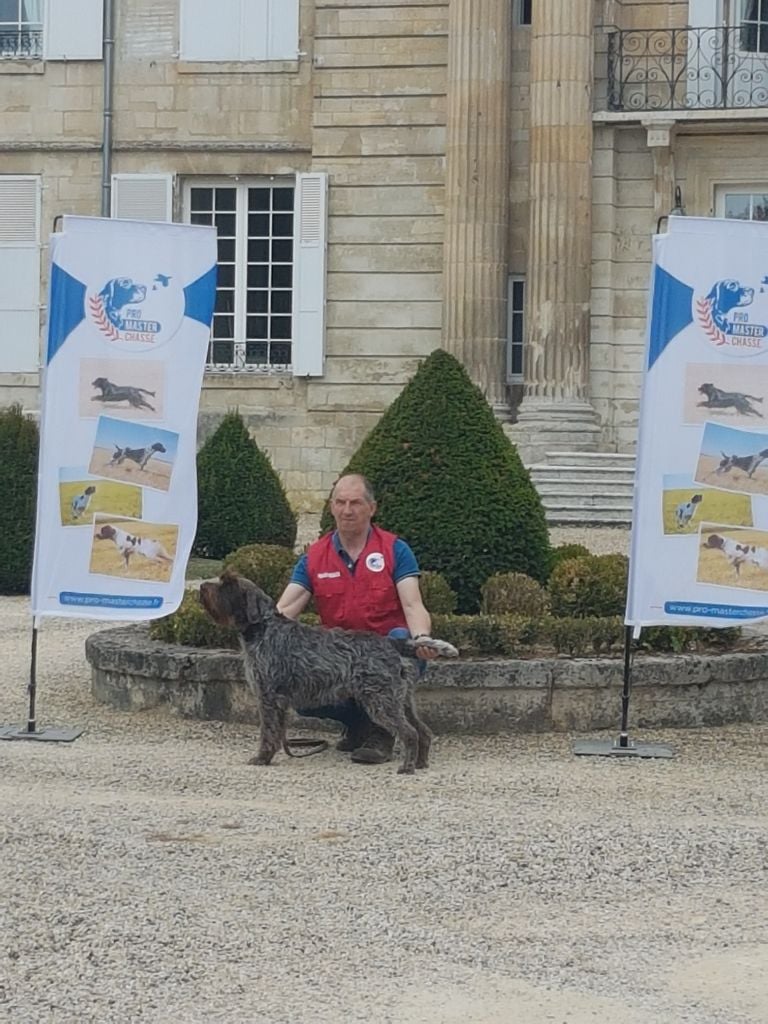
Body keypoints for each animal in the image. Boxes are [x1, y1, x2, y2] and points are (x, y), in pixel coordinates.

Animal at [199, 573, 462, 770]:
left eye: (228, 585)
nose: (202, 586)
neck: (263, 628)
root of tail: (392, 643)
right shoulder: (279, 701)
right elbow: (277, 733)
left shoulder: (268, 698)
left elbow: (268, 733)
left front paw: (262, 758)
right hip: (401, 700)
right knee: (423, 731)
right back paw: (420, 763)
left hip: (382, 701)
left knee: (409, 733)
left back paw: (406, 767)